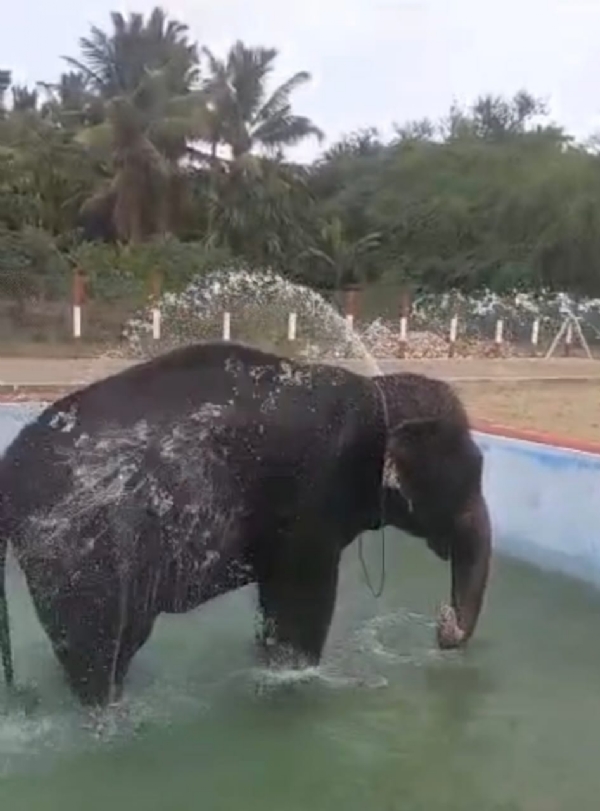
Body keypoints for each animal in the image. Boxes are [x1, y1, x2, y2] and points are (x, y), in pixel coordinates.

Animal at [0, 341, 491, 706]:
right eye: (471, 473)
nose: (442, 626)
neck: (379, 395)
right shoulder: (313, 494)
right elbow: (303, 600)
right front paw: (295, 678)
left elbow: (276, 599)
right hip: (76, 551)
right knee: (100, 650)